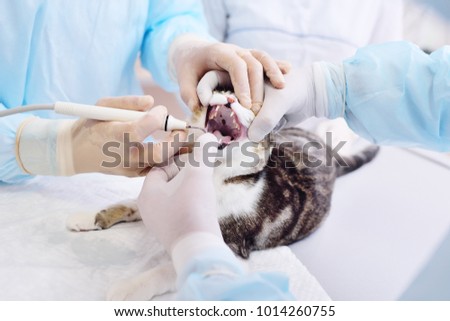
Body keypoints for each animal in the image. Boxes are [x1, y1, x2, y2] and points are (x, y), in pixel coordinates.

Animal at [66, 90, 376, 300]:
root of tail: (328, 153)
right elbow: (131, 203)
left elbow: (174, 267)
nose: (228, 97)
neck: (214, 174)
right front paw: (89, 216)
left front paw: (130, 287)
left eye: (253, 105)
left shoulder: (232, 245)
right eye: (224, 90)